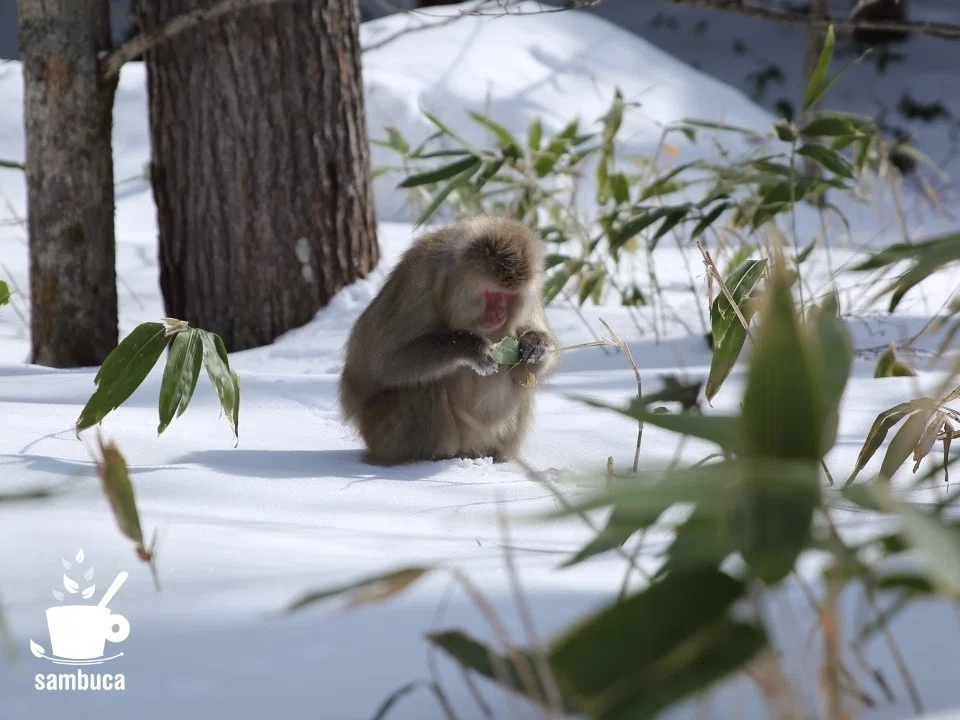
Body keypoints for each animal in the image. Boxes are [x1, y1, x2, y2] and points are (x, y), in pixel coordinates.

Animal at [338, 215, 558, 466]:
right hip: (381, 432)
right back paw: (431, 456)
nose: (500, 315)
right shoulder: (420, 278)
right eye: (494, 294)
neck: (452, 286)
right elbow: (383, 363)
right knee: (423, 384)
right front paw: (471, 347)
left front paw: (535, 344)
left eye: (511, 297)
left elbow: (525, 372)